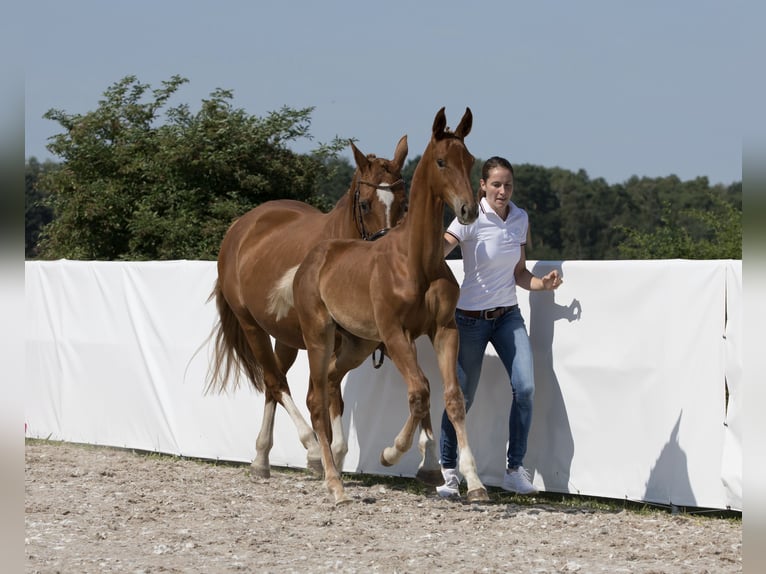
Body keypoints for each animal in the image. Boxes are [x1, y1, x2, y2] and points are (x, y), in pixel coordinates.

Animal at [204, 137, 408, 480]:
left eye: (404, 204)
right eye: (366, 204)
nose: (388, 249)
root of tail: (241, 226)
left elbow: (331, 391)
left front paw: (336, 454)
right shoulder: (327, 341)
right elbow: (325, 393)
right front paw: (327, 454)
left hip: (285, 338)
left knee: (273, 383)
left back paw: (262, 457)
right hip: (252, 327)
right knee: (275, 381)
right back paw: (308, 448)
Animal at [294, 108, 492, 504]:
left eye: (470, 159)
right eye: (441, 161)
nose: (468, 210)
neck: (416, 262)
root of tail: (311, 260)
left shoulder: (442, 330)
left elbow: (451, 397)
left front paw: (472, 481)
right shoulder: (394, 332)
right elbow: (420, 391)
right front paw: (392, 453)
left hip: (357, 343)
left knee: (331, 380)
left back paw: (334, 461)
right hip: (319, 336)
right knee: (316, 399)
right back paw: (334, 483)